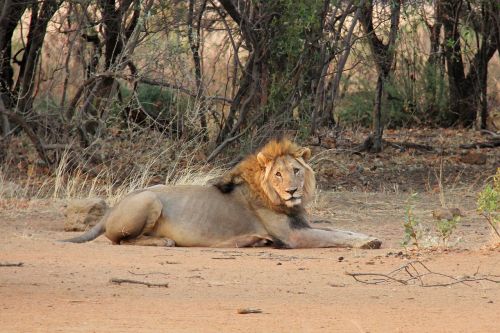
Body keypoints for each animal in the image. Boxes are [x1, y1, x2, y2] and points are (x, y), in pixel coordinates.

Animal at [63, 138, 382, 249]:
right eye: (278, 174)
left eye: (296, 170)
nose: (292, 190)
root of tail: (112, 210)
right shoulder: (293, 236)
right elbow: (334, 237)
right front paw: (367, 243)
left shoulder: (302, 225)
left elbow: (341, 230)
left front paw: (370, 236)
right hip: (150, 199)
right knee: (121, 240)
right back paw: (164, 241)